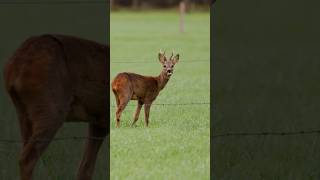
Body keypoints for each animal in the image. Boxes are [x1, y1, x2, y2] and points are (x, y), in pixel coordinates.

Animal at [3, 34, 109, 180]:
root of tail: (15, 65)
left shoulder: (98, 122)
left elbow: (85, 169)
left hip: (23, 113)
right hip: (51, 111)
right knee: (26, 159)